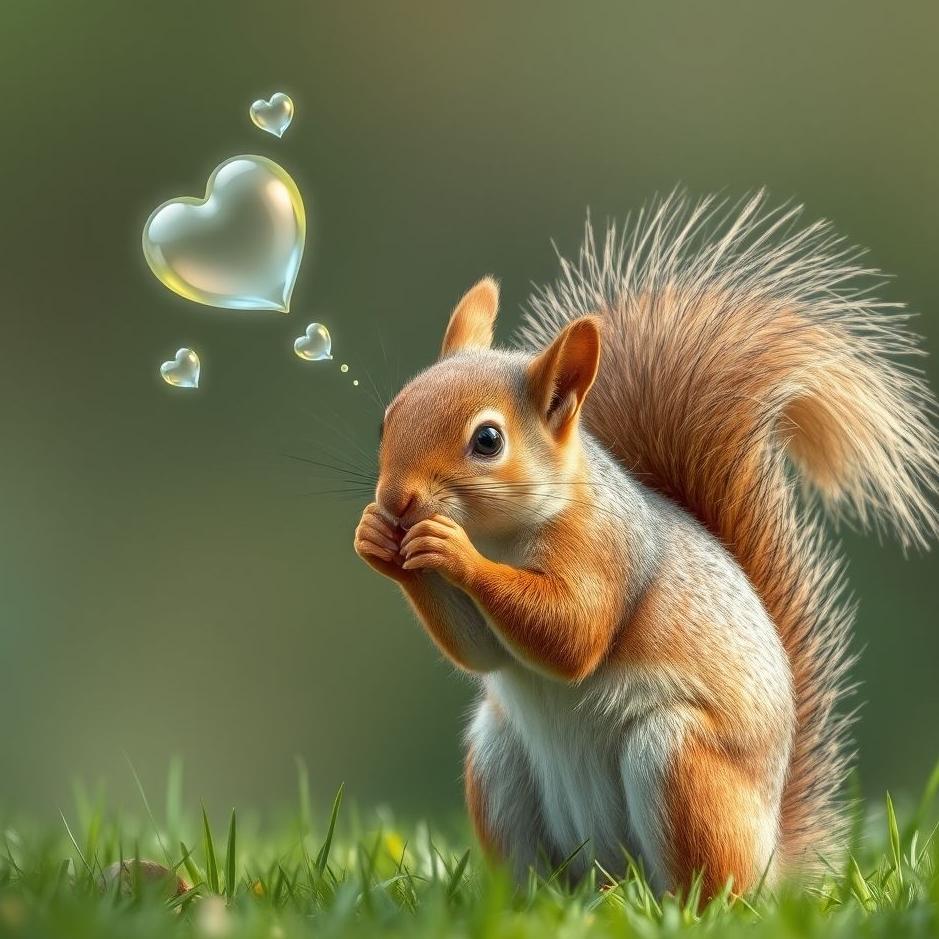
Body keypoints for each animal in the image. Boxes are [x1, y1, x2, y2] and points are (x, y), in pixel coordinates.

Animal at [353, 192, 938, 896]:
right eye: (387, 419)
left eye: (487, 440)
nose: (395, 500)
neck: (503, 535)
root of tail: (772, 858)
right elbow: (480, 651)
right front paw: (376, 538)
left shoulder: (605, 552)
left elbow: (572, 634)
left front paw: (450, 550)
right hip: (497, 759)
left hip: (679, 761)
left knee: (710, 889)